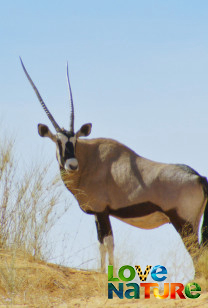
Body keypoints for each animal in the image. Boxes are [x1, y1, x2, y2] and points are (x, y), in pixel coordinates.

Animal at [20, 58, 208, 272]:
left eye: (75, 140)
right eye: (58, 141)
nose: (72, 165)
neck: (89, 160)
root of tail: (198, 177)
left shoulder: (102, 211)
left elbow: (108, 242)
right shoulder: (97, 213)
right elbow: (101, 243)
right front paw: (102, 270)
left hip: (184, 224)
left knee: (196, 254)